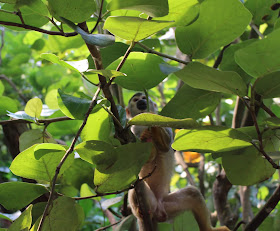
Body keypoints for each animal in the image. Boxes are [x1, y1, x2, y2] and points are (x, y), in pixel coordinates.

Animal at [126, 92, 231, 231]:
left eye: (144, 98)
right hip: (150, 202)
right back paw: (139, 212)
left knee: (192, 193)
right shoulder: (132, 130)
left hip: (166, 206)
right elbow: (138, 160)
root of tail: (158, 211)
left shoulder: (165, 123)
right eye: (136, 100)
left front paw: (151, 121)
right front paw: (146, 140)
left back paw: (208, 229)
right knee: (135, 185)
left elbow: (165, 146)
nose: (142, 102)